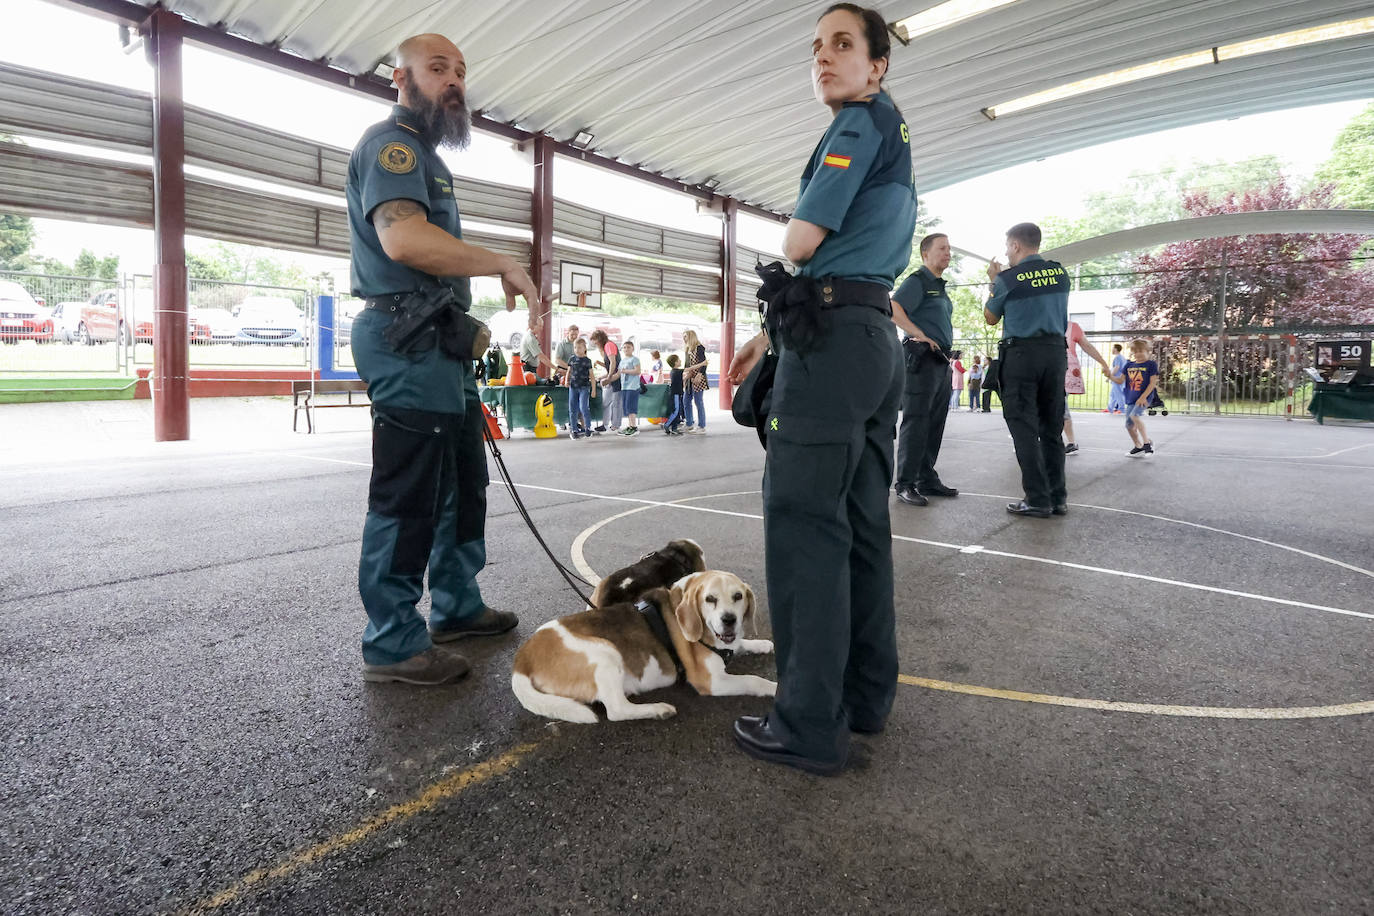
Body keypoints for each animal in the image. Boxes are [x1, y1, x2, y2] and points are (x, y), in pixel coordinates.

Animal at [513, 574, 774, 725]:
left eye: (738, 596)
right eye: (710, 599)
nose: (729, 620)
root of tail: (522, 659)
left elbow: (742, 643)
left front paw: (762, 644)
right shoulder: (712, 682)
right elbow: (753, 679)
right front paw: (774, 687)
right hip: (606, 652)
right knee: (616, 710)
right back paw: (657, 710)